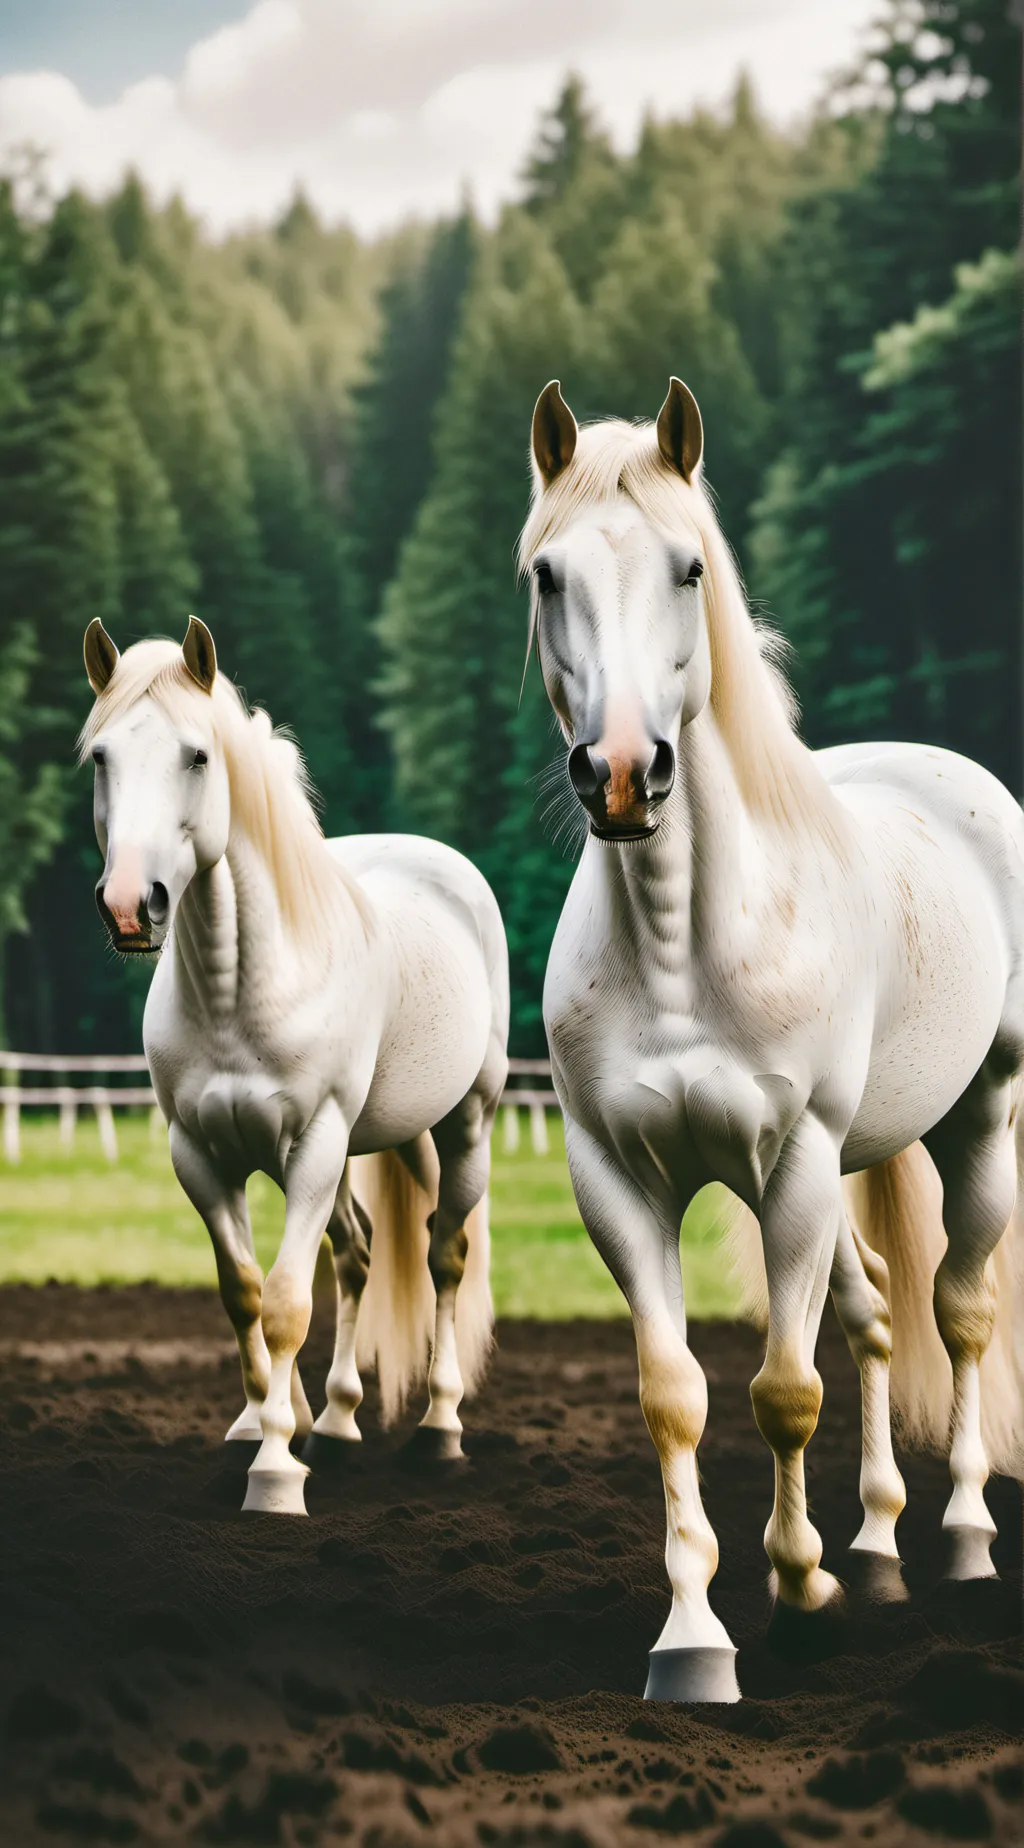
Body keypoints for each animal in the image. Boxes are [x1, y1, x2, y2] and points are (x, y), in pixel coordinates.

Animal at [80, 616, 509, 1515]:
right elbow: (243, 1291)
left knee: (443, 1254)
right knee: (358, 1253)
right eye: (101, 756)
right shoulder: (202, 1154)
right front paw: (261, 1427)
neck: (239, 991)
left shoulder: (312, 1145)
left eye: (197, 756)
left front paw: (276, 1473)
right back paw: (338, 1423)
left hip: (465, 1122)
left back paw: (439, 1430)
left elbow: (284, 1303)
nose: (132, 907)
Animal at [522, 376, 1024, 1702]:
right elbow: (675, 1397)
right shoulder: (618, 1181)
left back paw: (961, 1539)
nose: (622, 773)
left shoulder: (792, 1164)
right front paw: (694, 1640)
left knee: (958, 1312)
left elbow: (784, 1392)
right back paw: (881, 1546)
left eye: (689, 566)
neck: (685, 947)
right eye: (546, 574)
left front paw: (800, 1596)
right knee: (879, 1315)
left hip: (977, 1121)